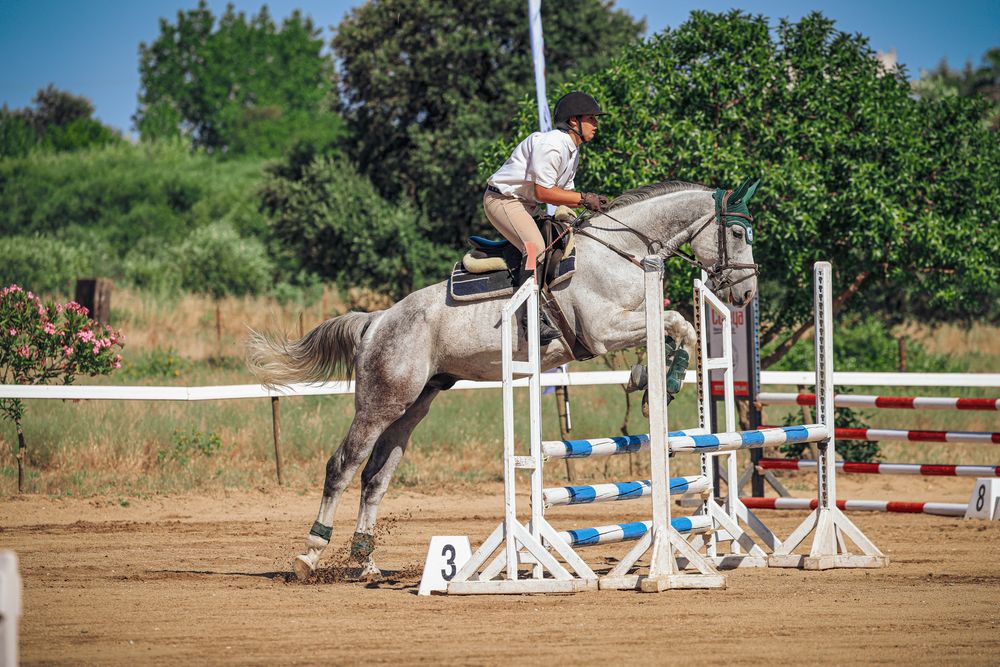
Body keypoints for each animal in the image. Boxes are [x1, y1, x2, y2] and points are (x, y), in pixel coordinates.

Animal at [247, 178, 760, 580]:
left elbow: (681, 327)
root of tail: (376, 321)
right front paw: (657, 381)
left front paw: (651, 381)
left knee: (376, 476)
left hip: (414, 405)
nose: (745, 294)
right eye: (737, 232)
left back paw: (366, 563)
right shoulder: (602, 331)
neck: (622, 252)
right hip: (380, 402)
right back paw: (310, 556)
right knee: (343, 466)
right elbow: (675, 322)